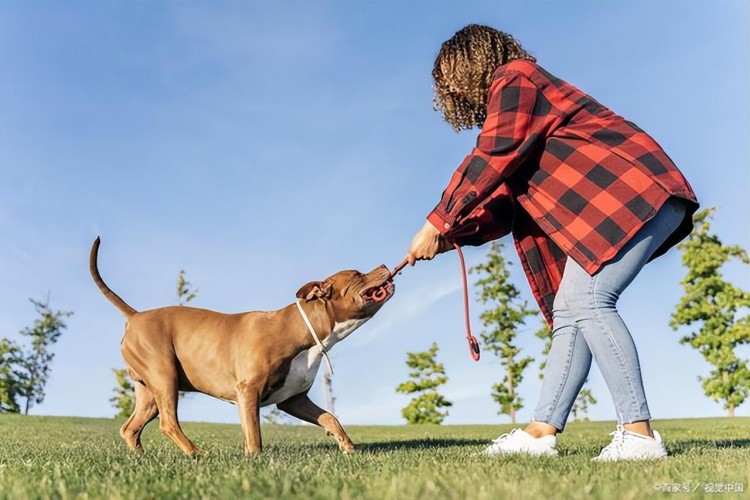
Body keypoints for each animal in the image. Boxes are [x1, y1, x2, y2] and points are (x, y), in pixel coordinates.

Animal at [90, 238, 396, 458]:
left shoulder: (293, 399)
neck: (303, 329)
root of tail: (136, 316)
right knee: (168, 422)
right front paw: (255, 460)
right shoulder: (249, 391)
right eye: (357, 274)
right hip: (165, 376)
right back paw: (196, 453)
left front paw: (346, 445)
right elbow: (254, 434)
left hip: (149, 391)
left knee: (131, 428)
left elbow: (330, 417)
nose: (384, 264)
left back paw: (142, 458)